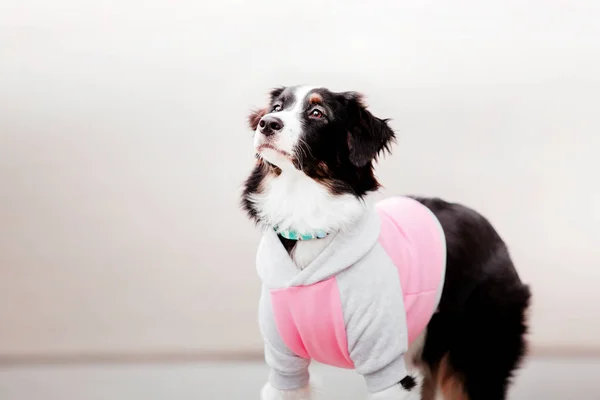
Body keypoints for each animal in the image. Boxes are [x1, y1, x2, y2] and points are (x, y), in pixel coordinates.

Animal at [239, 86, 528, 398]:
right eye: (277, 107)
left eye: (317, 113)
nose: (267, 123)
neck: (309, 223)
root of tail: (490, 229)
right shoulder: (284, 365)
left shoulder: (385, 362)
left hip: (475, 357)